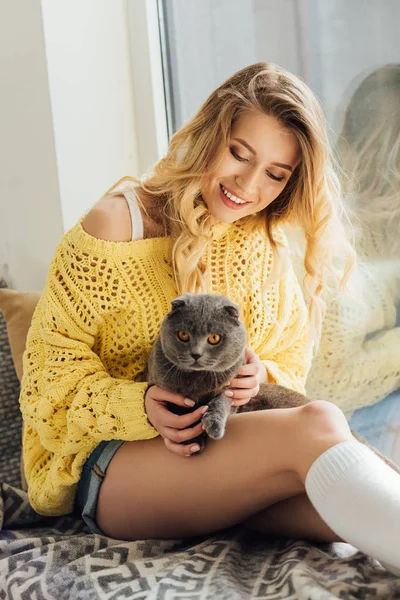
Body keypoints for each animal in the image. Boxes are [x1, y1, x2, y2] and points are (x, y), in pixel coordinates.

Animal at [144, 292, 400, 474]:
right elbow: (176, 411)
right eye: (183, 335)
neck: (197, 383)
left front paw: (212, 427)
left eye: (214, 338)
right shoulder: (158, 384)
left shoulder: (233, 390)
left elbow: (220, 403)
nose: (196, 354)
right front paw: (192, 440)